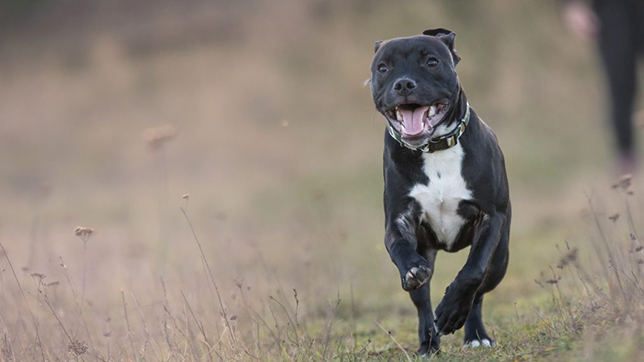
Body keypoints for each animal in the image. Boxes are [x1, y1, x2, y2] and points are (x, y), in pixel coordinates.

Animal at [370, 27, 510, 354]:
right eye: (383, 68)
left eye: (431, 62)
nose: (403, 83)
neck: (434, 149)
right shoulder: (399, 219)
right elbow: (399, 247)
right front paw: (411, 269)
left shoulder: (491, 217)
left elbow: (473, 271)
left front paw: (451, 311)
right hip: (427, 252)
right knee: (422, 303)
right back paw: (428, 342)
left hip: (501, 259)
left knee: (479, 290)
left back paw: (475, 333)